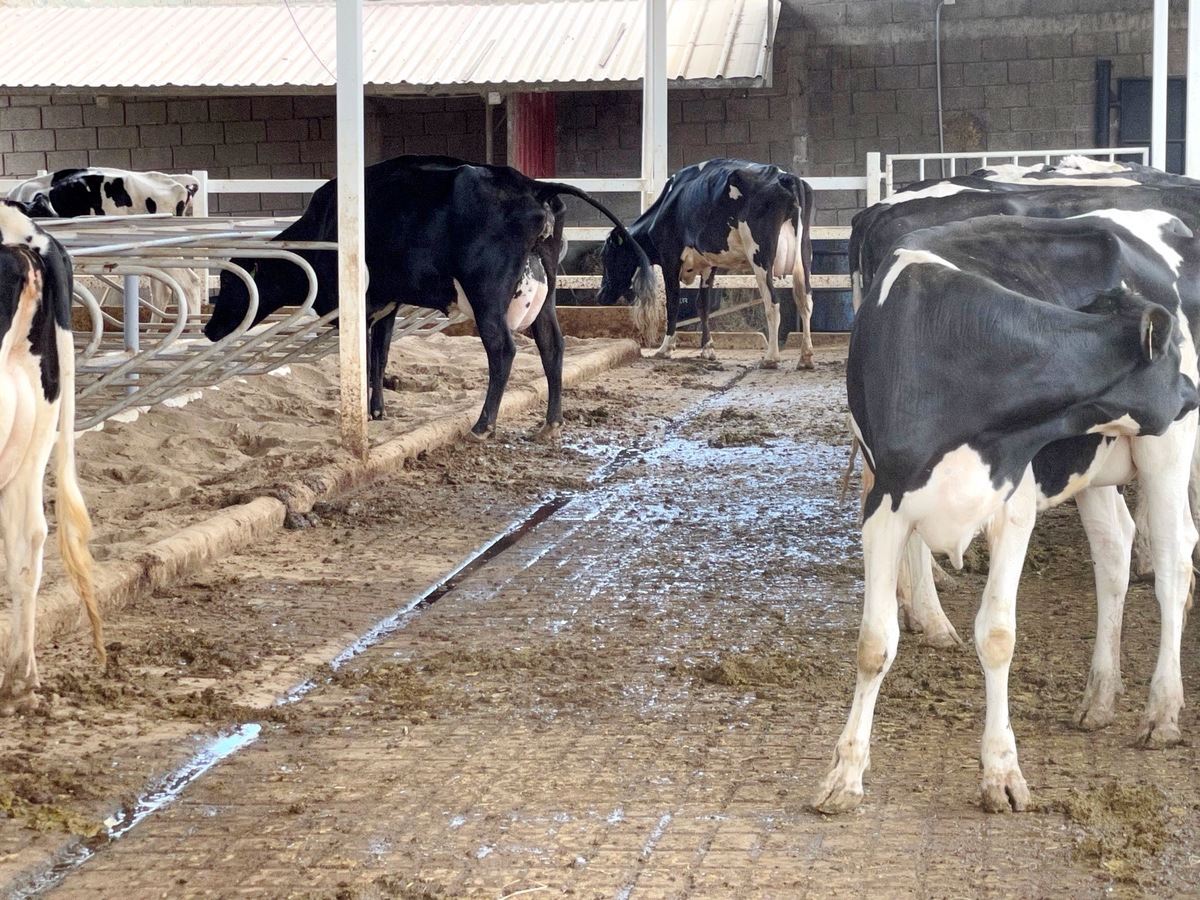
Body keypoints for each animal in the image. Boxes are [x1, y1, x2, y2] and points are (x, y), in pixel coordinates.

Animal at [206, 154, 657, 441]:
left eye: (231, 283)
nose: (210, 330)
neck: (324, 224)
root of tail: (530, 183)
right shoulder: (385, 304)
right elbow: (379, 356)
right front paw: (377, 410)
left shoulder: (356, 309)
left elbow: (362, 359)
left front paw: (363, 413)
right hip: (542, 295)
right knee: (552, 345)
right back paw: (550, 424)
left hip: (485, 293)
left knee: (503, 349)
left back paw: (482, 427)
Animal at [597, 160, 820, 372]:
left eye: (606, 257)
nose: (600, 295)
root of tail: (785, 176)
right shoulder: (708, 264)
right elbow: (702, 305)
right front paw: (708, 349)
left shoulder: (670, 259)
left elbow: (673, 303)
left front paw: (665, 348)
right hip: (804, 254)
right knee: (805, 299)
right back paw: (806, 358)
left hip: (761, 257)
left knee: (772, 301)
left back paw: (771, 358)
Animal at [816, 211, 1200, 816]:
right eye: (1166, 362)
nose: (1188, 389)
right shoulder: (885, 507)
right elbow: (874, 643)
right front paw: (845, 775)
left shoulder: (1013, 508)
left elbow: (997, 636)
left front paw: (1001, 772)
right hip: (1094, 464)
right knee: (1115, 553)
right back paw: (1099, 698)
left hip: (1166, 449)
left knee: (1173, 564)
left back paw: (1162, 710)